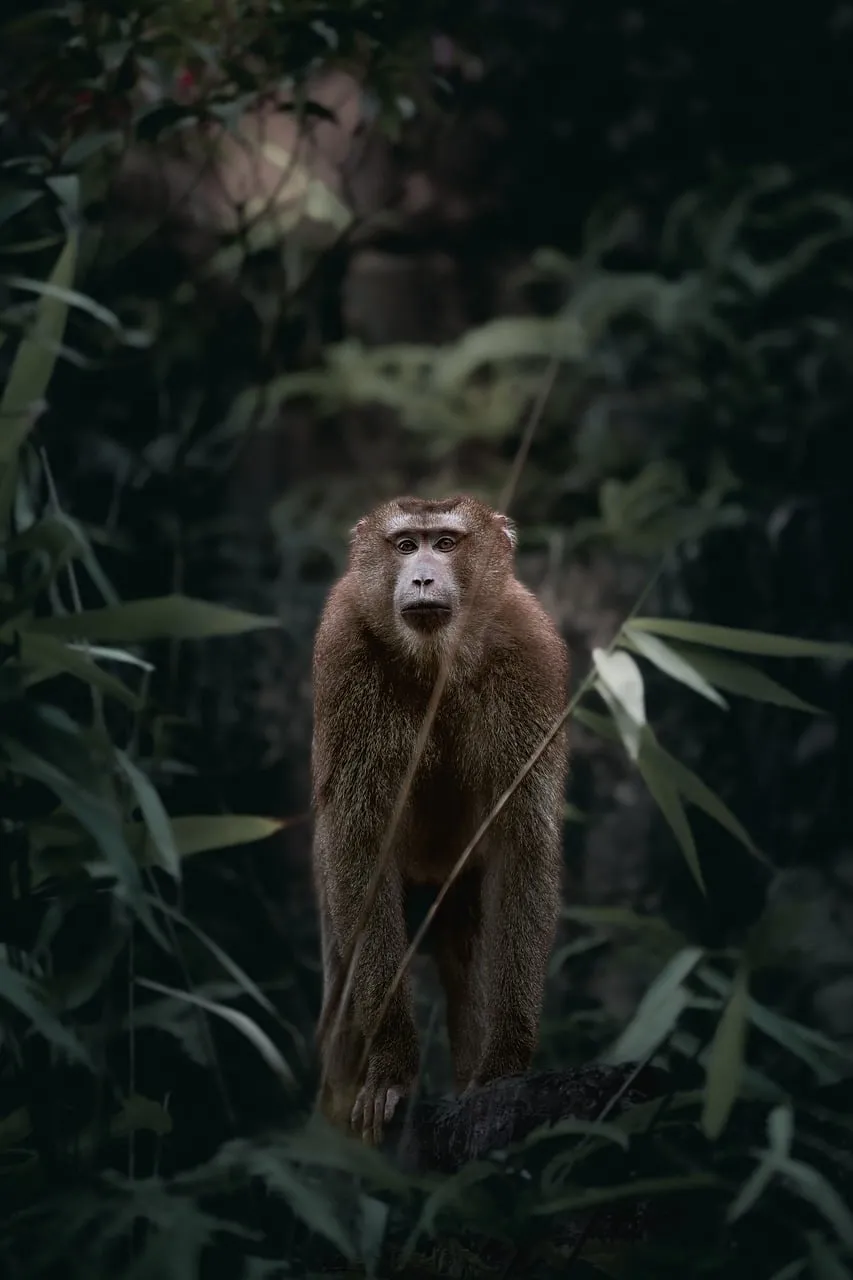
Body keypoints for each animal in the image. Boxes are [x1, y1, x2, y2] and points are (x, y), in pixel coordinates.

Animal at [310, 495, 570, 1144]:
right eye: (407, 545)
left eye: (446, 543)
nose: (424, 577)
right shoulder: (345, 653)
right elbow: (362, 847)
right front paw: (393, 1072)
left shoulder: (528, 654)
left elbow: (524, 848)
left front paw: (503, 1065)